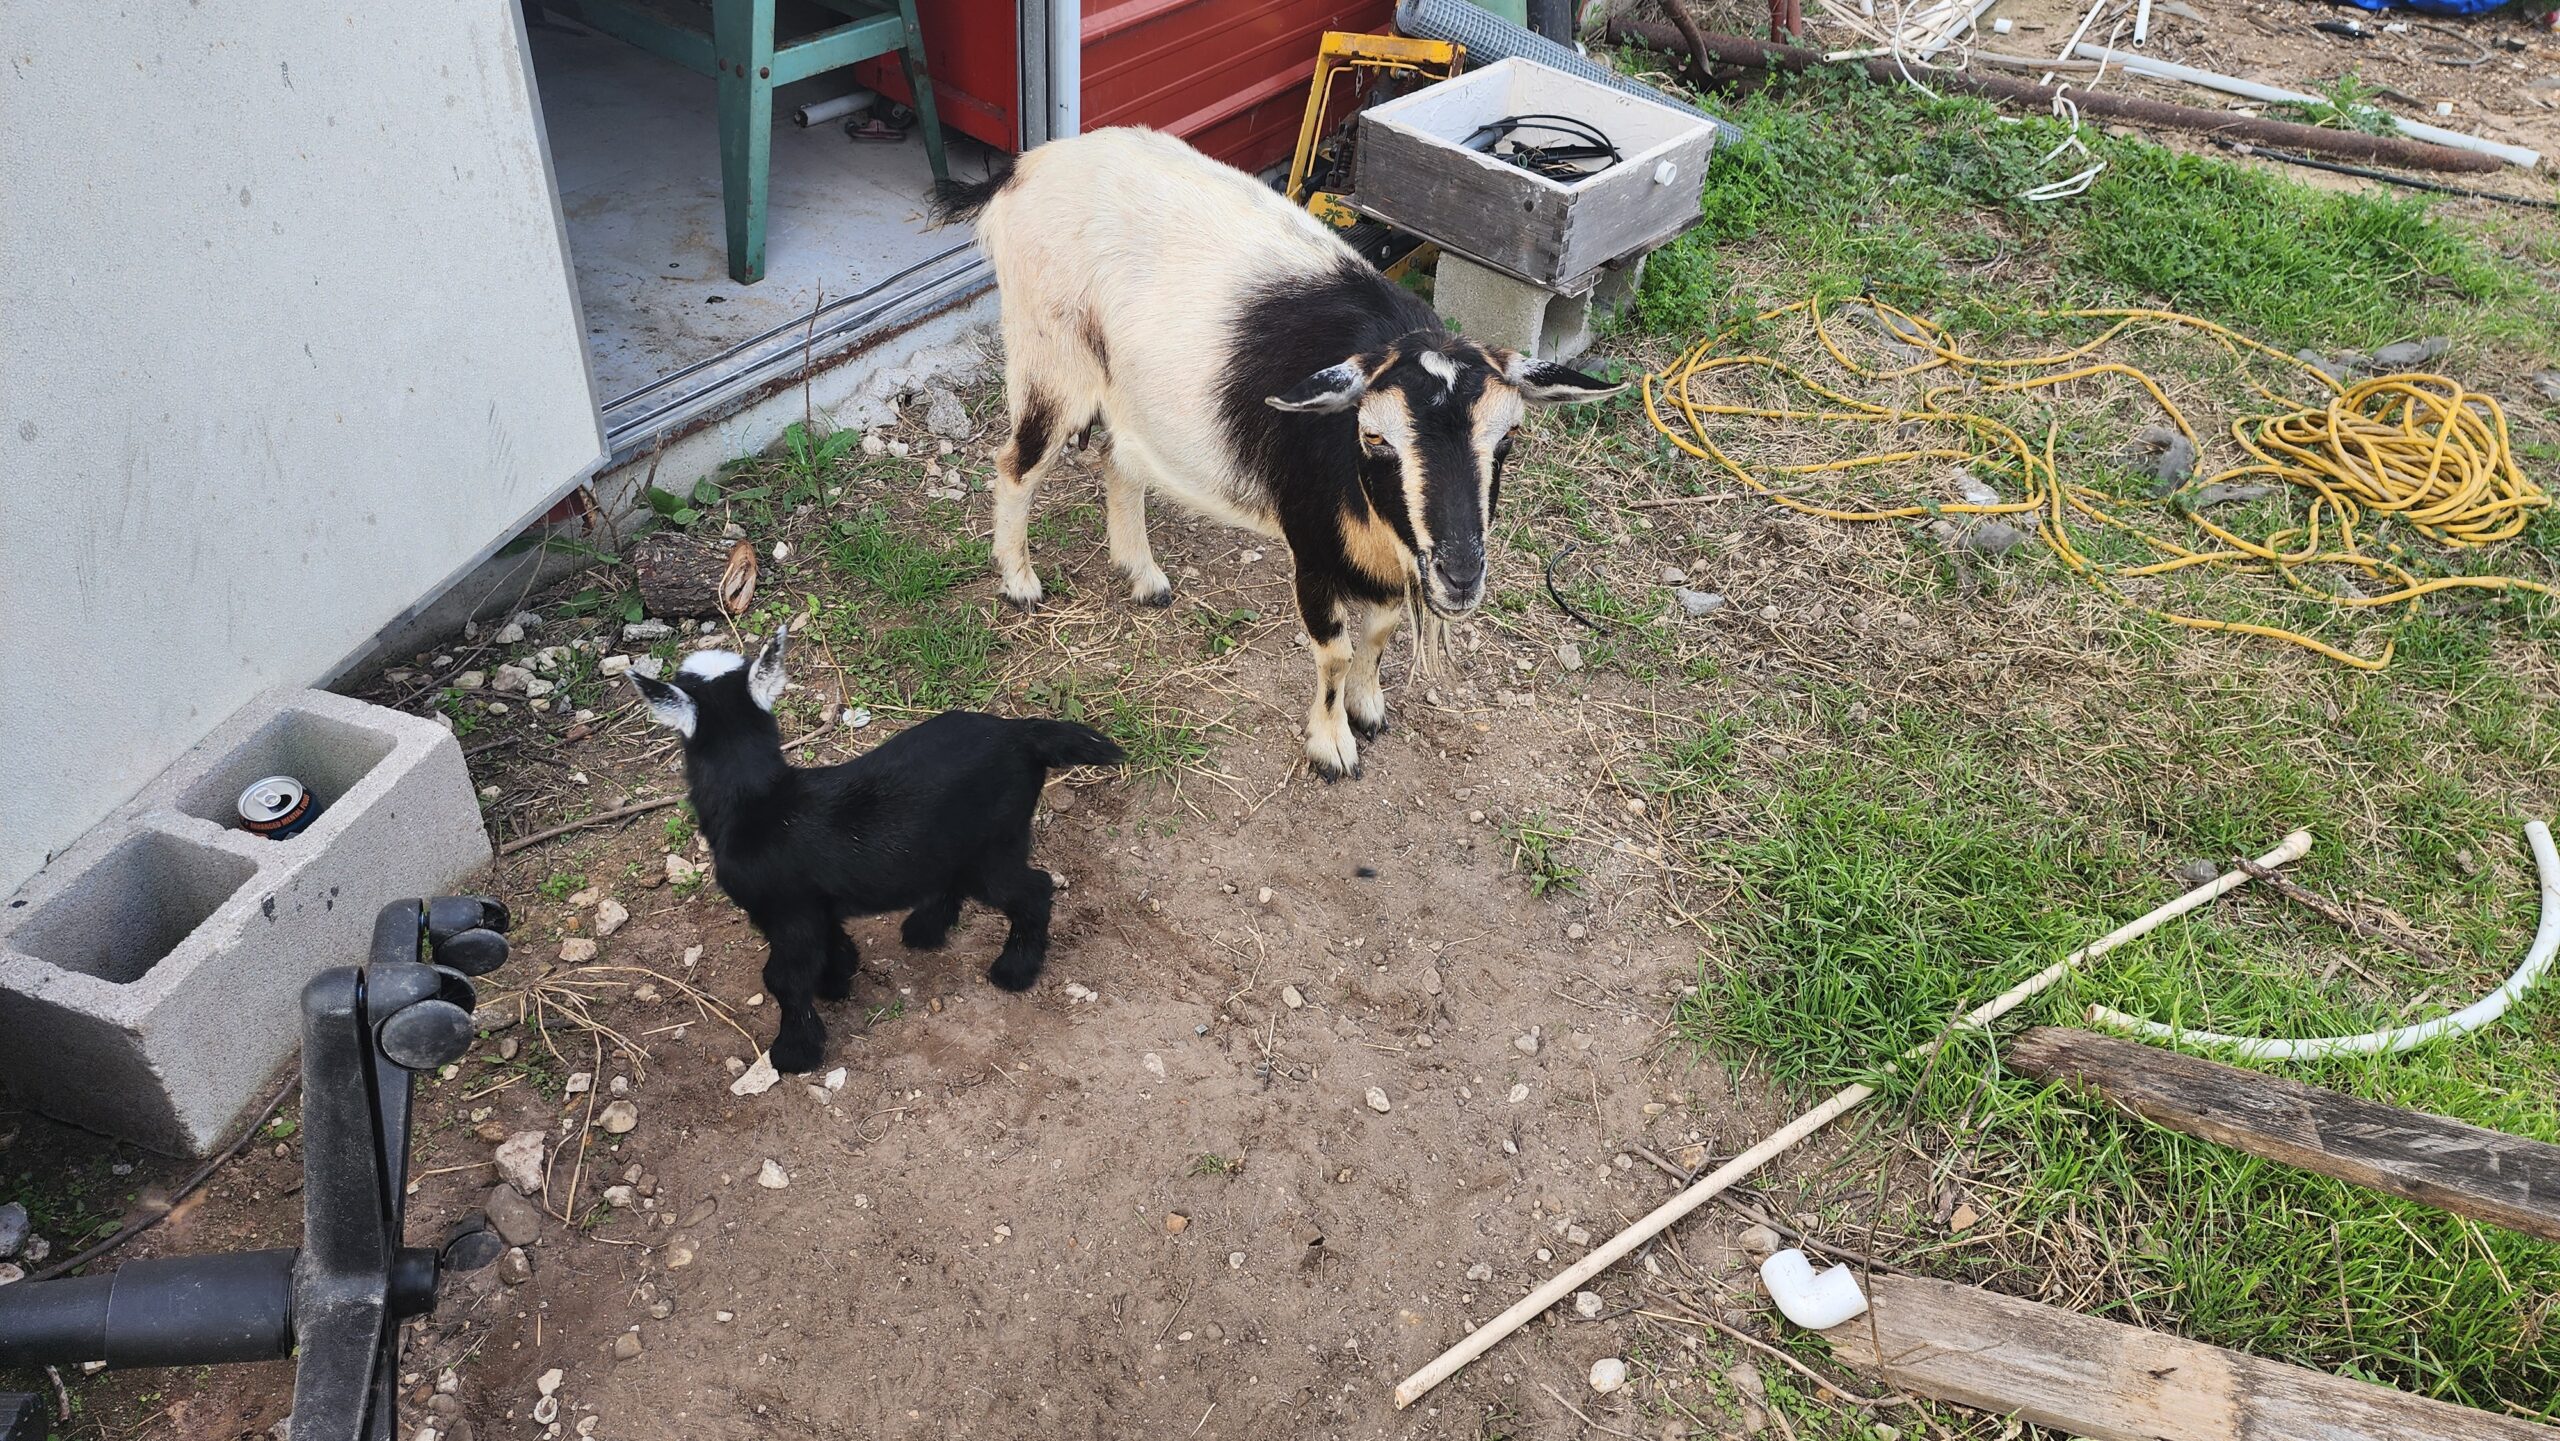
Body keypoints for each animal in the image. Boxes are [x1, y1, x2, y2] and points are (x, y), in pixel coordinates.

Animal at [631, 625, 1125, 1071]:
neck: (761, 803)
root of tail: (1022, 734)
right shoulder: (814, 906)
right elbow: (829, 944)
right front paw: (836, 981)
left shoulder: (784, 911)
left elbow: (783, 979)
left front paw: (794, 1053)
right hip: (961, 844)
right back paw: (925, 929)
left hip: (996, 844)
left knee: (1033, 889)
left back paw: (1015, 970)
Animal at [931, 127, 1623, 780]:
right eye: (1374, 437)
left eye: (1508, 438)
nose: (1459, 575)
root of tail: (1024, 169)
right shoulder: (1311, 543)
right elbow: (1335, 650)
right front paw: (1332, 747)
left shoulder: (1387, 558)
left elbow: (1380, 632)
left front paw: (1369, 709)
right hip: (1051, 359)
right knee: (1016, 467)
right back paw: (1021, 582)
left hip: (1128, 391)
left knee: (1118, 463)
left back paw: (1144, 577)